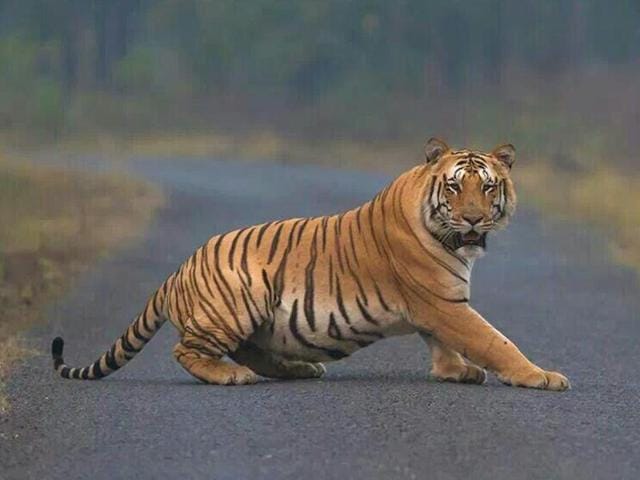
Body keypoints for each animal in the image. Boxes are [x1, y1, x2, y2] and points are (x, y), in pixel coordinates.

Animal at [51, 138, 570, 391]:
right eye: (455, 186)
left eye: (488, 187)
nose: (474, 218)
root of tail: (178, 270)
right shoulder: (442, 303)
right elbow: (495, 340)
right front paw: (540, 377)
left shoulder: (439, 307)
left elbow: (448, 344)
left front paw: (454, 371)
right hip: (238, 299)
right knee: (189, 351)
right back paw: (231, 377)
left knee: (249, 350)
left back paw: (298, 369)